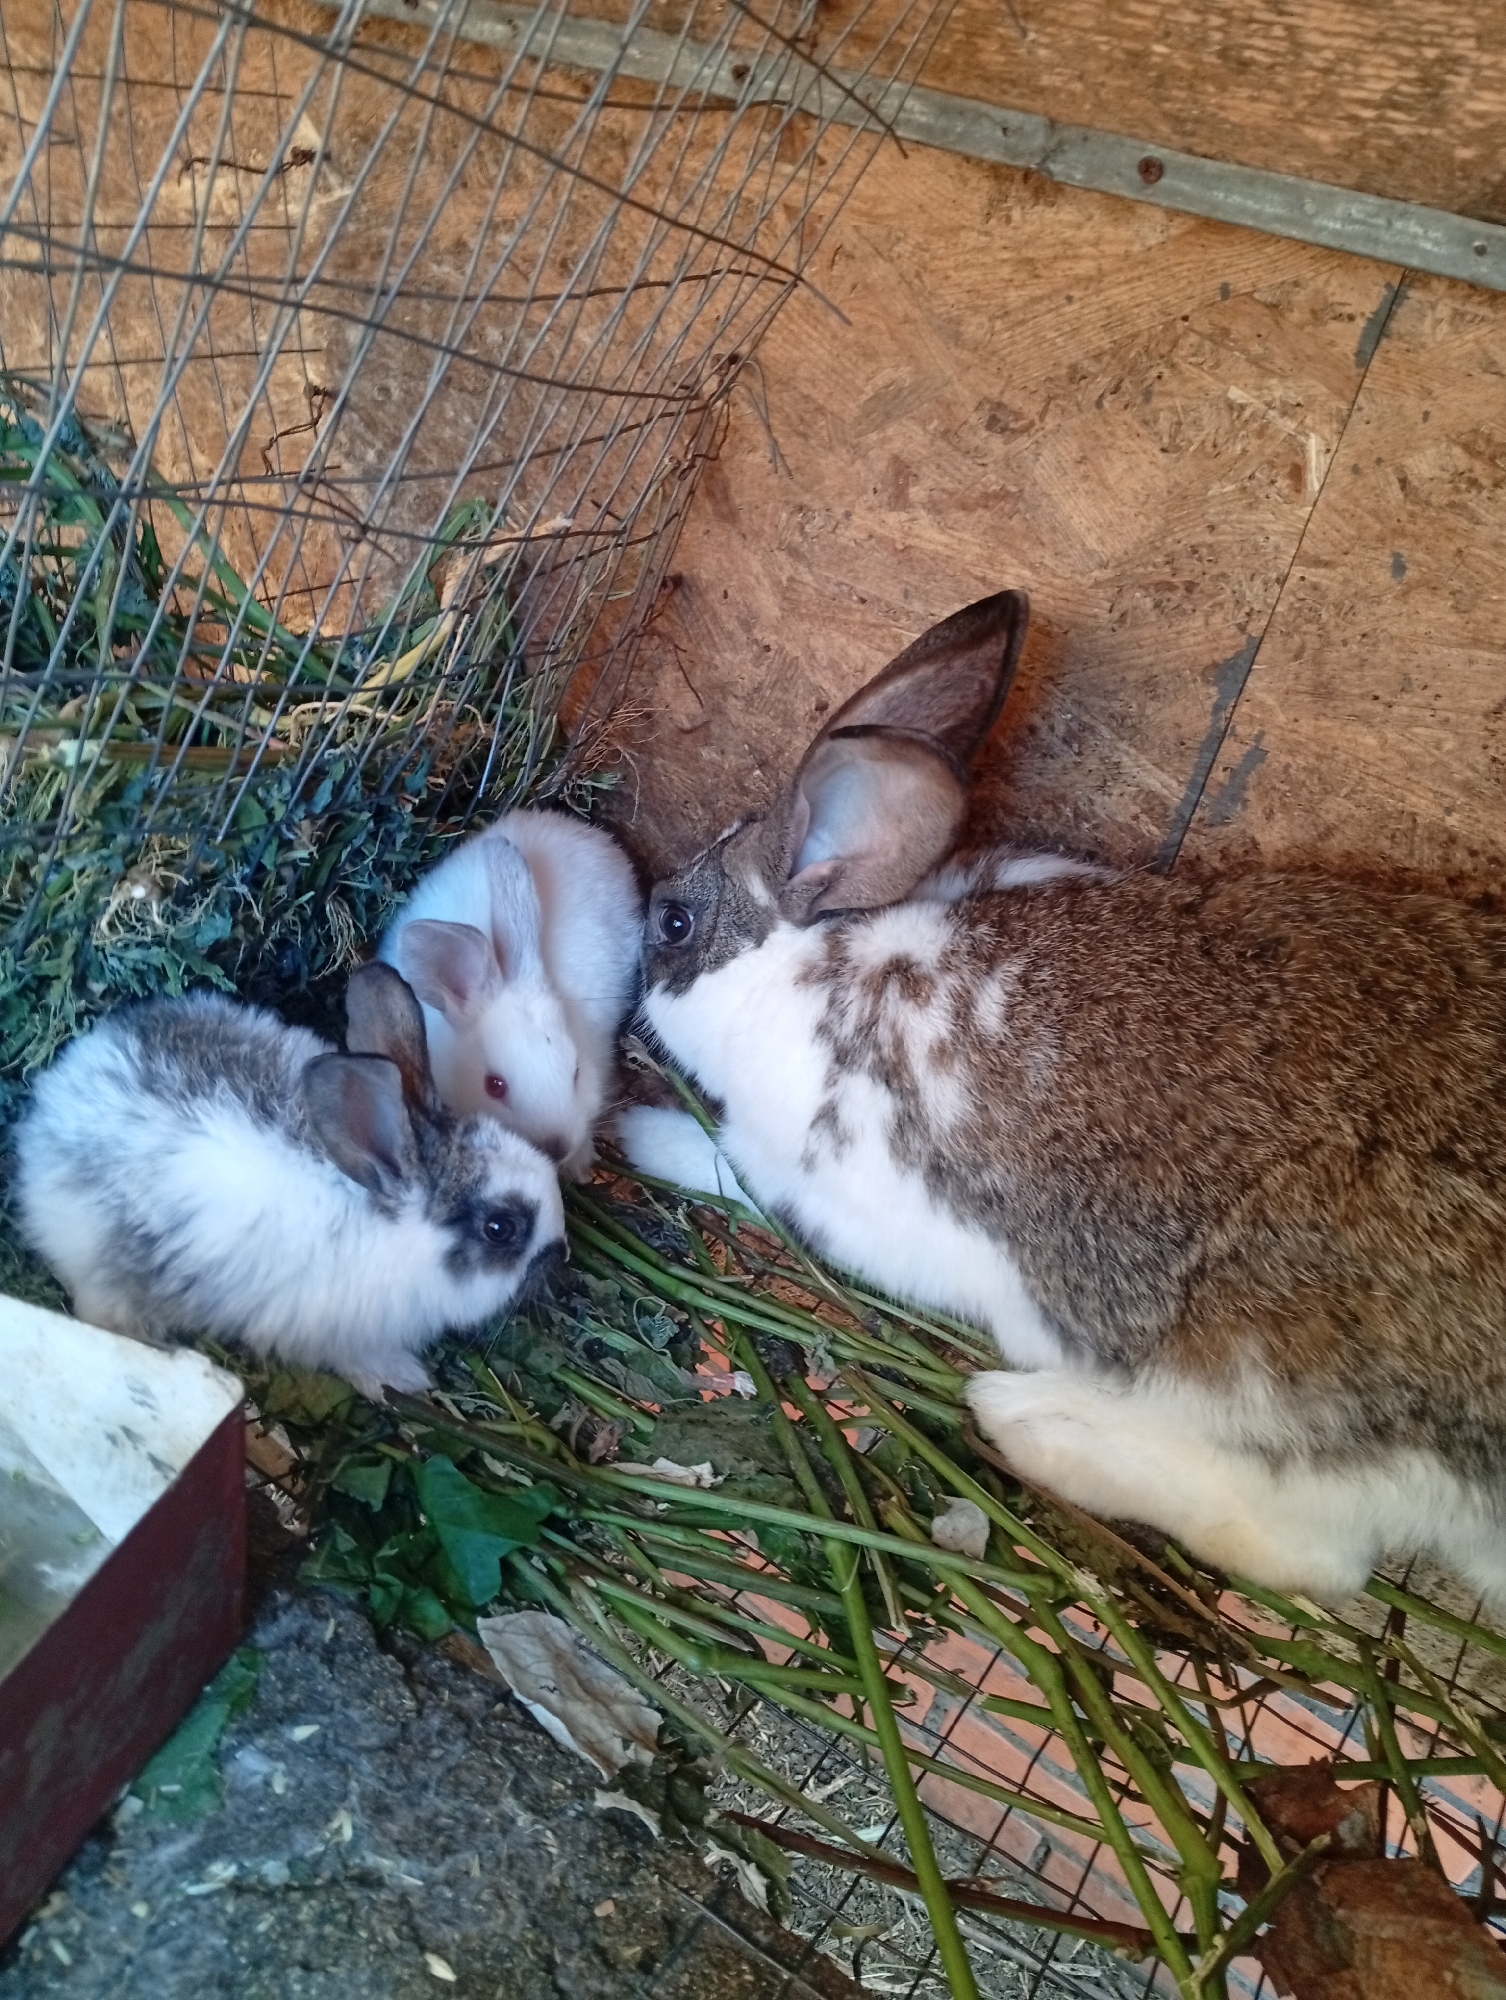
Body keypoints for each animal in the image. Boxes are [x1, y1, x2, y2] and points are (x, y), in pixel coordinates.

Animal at [617, 588, 1506, 1608]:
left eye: (674, 922)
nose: (637, 972)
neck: (814, 967)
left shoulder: (799, 1172)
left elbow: (718, 1161)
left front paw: (631, 1131)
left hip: (1275, 1394)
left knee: (1312, 1552)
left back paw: (1029, 1422)